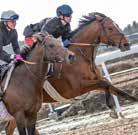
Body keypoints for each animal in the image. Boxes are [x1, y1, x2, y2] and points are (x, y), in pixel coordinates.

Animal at [4, 12, 137, 135]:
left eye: (117, 25)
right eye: (110, 28)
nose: (126, 44)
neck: (80, 57)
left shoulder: (95, 79)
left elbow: (113, 88)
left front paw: (131, 100)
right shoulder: (77, 88)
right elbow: (105, 84)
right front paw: (113, 110)